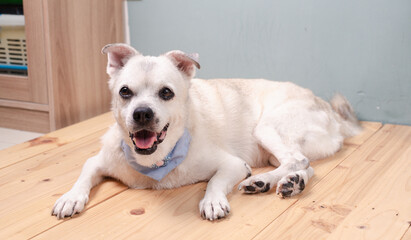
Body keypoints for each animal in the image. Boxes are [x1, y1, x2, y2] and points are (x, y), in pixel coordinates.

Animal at [51, 43, 360, 221]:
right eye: (124, 92)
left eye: (166, 93)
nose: (142, 113)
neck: (155, 162)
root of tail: (332, 113)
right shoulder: (98, 161)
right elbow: (84, 176)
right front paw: (70, 197)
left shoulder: (234, 165)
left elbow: (215, 181)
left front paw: (212, 201)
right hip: (273, 149)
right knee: (303, 165)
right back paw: (286, 182)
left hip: (266, 128)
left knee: (298, 160)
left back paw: (267, 181)